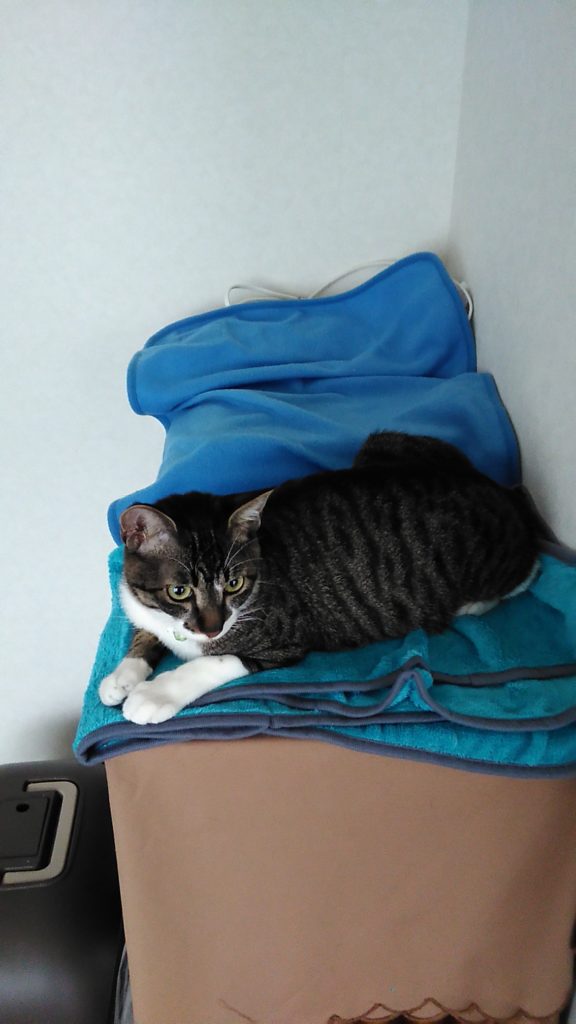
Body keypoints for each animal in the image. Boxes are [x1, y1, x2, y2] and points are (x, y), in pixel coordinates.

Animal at [99, 431, 541, 725]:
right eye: (179, 591)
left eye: (234, 584)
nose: (212, 627)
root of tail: (503, 490)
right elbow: (145, 633)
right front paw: (121, 676)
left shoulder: (285, 639)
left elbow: (216, 661)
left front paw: (153, 694)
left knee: (528, 571)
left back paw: (472, 604)